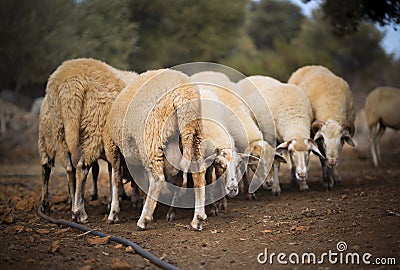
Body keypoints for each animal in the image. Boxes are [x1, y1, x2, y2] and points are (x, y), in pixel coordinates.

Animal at [45, 57, 138, 221]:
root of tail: (70, 83)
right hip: (94, 127)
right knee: (82, 168)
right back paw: (81, 212)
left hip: (60, 128)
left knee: (70, 168)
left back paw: (74, 209)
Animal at [103, 68, 206, 231]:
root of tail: (183, 96)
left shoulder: (112, 146)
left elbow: (115, 179)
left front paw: (113, 214)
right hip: (193, 136)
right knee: (198, 172)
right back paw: (198, 219)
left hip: (152, 137)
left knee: (158, 178)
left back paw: (143, 220)